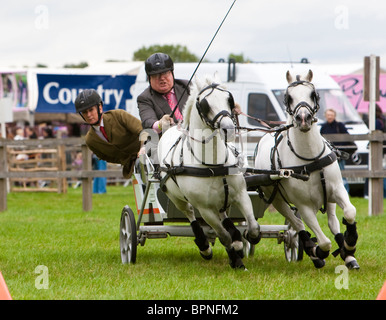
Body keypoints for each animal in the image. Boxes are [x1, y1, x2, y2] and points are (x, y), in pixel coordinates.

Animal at [158, 74, 260, 268]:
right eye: (205, 104)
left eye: (229, 99)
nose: (229, 129)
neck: (214, 164)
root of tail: (170, 128)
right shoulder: (204, 209)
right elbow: (224, 237)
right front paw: (235, 257)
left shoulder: (241, 194)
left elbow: (253, 229)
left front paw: (244, 243)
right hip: (178, 199)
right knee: (190, 214)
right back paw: (205, 247)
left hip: (221, 199)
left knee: (224, 214)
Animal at [256, 70, 358, 270]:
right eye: (288, 97)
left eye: (313, 94)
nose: (303, 118)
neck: (310, 159)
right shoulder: (303, 206)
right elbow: (323, 242)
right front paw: (317, 251)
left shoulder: (337, 189)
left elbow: (350, 212)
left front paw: (350, 243)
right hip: (278, 200)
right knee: (296, 224)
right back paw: (312, 251)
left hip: (329, 199)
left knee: (332, 222)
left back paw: (347, 255)